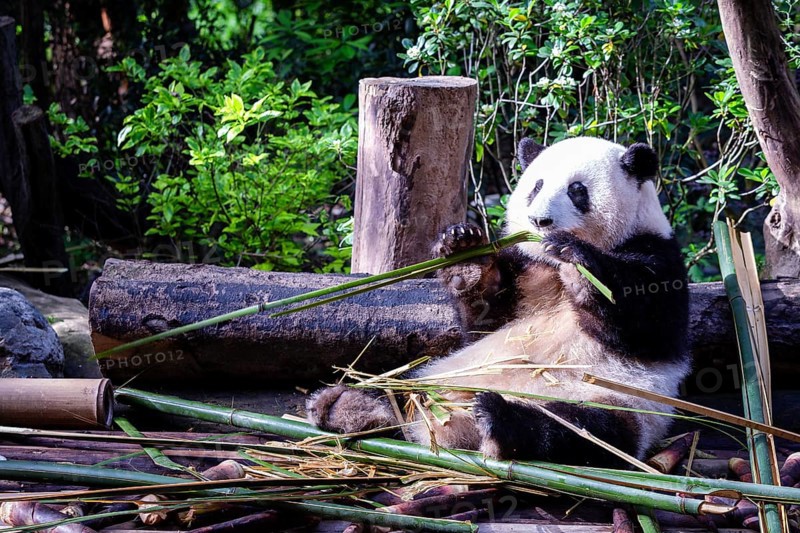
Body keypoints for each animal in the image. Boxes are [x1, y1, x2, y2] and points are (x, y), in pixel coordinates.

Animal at [306, 136, 690, 466]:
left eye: (577, 190)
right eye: (536, 186)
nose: (540, 221)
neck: (548, 264)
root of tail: (455, 429)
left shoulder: (659, 257)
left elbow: (644, 325)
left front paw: (579, 263)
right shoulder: (526, 271)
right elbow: (485, 321)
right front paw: (464, 252)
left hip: (616, 402)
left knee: (580, 431)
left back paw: (499, 421)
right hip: (438, 374)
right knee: (401, 390)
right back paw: (348, 404)